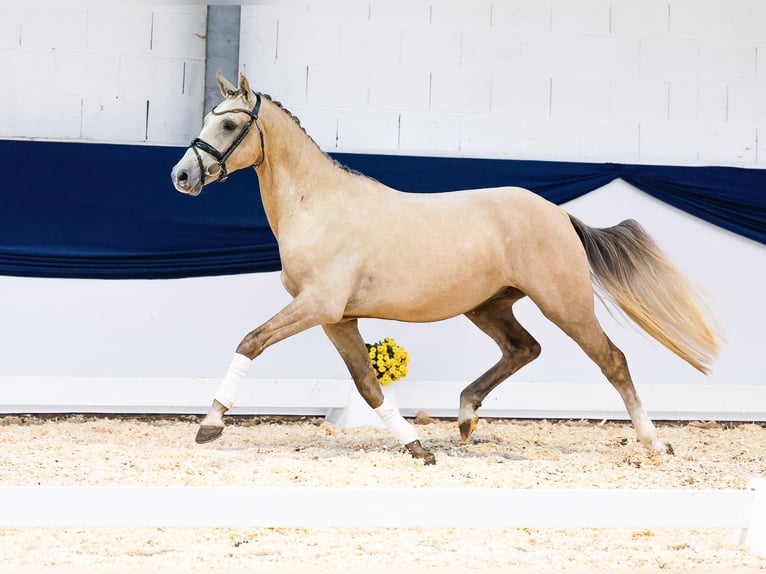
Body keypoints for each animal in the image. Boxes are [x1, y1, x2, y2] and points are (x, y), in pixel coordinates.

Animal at [172, 73, 720, 468]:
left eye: (228, 125)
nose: (181, 175)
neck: (319, 207)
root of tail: (558, 214)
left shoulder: (317, 306)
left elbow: (250, 342)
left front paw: (210, 425)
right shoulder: (336, 318)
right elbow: (367, 385)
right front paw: (418, 447)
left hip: (565, 304)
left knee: (612, 360)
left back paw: (654, 444)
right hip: (489, 306)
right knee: (524, 349)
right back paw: (465, 417)